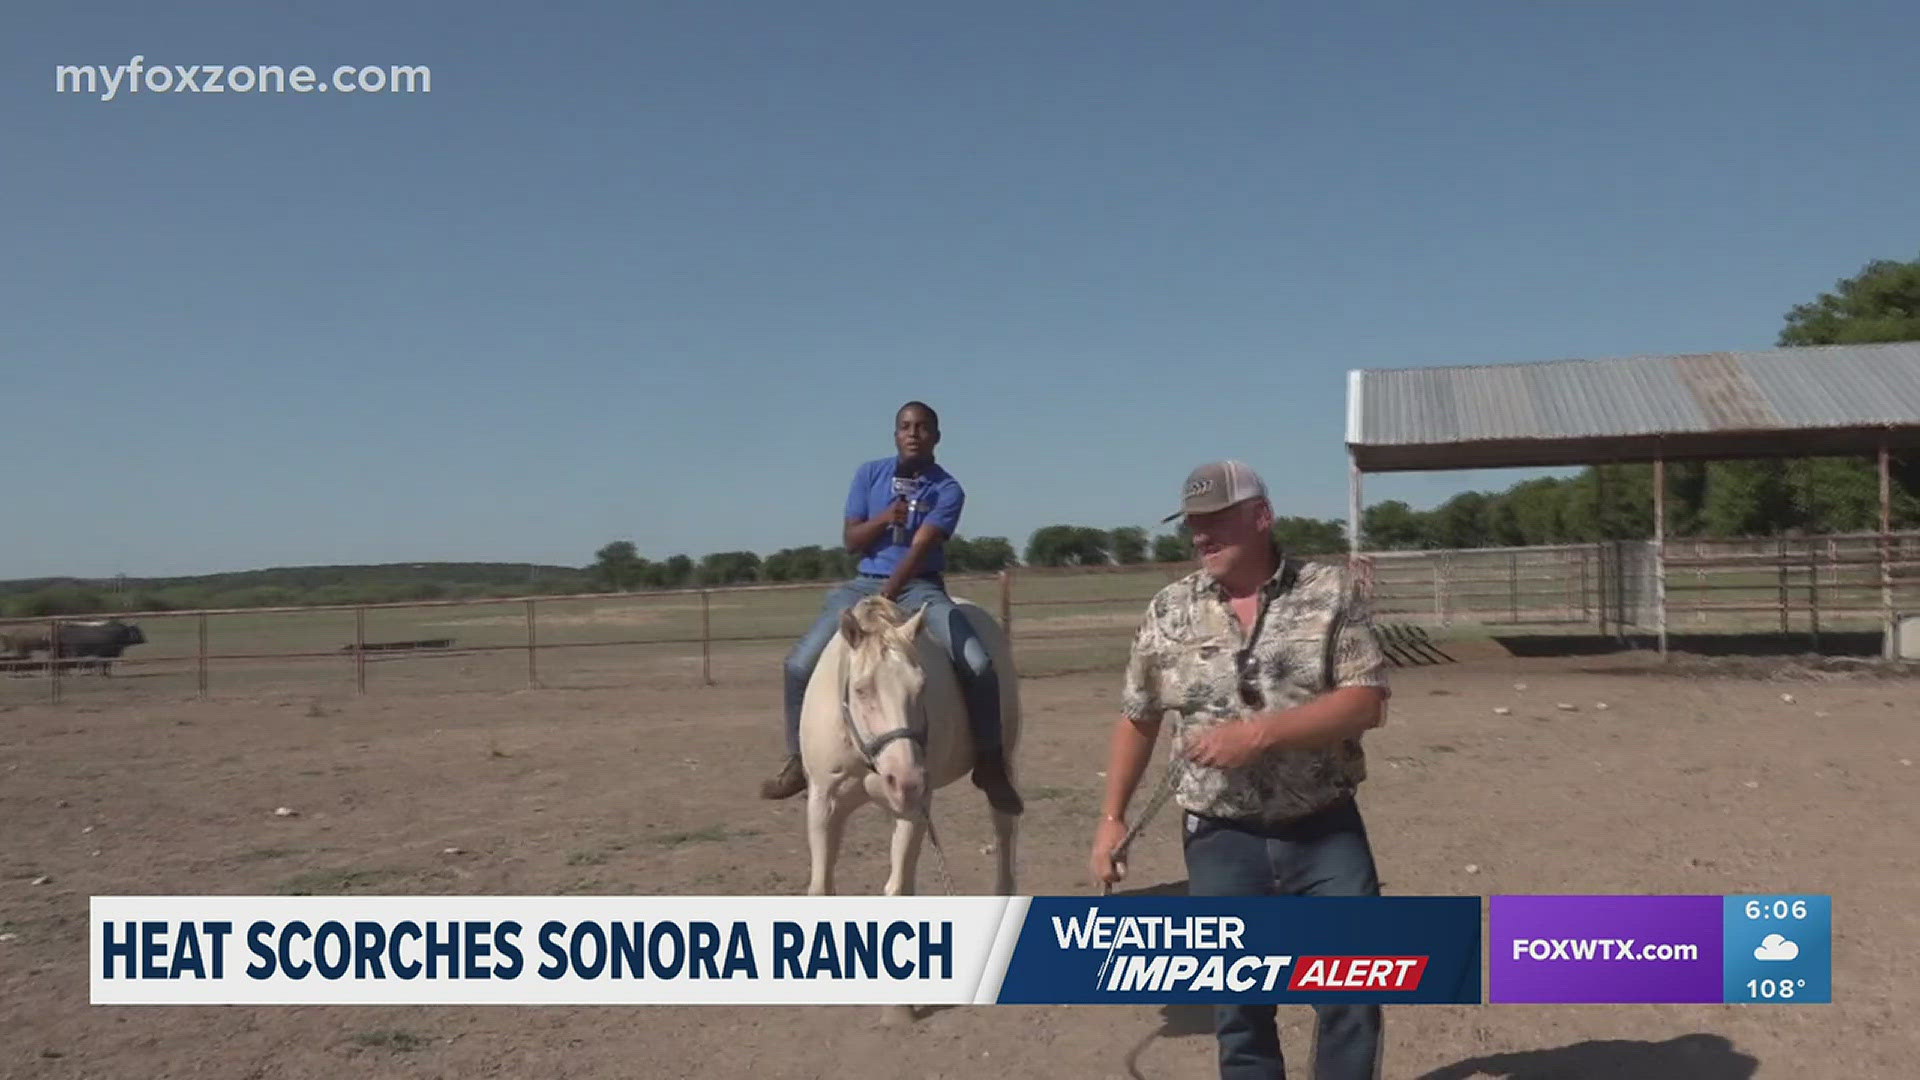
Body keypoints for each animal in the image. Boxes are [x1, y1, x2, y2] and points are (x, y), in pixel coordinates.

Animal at [798, 591, 1029, 895]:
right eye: (860, 689)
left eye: (922, 686)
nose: (907, 781)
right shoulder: (824, 805)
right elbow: (821, 886)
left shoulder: (914, 811)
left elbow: (899, 886)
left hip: (1005, 761)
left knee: (1004, 828)